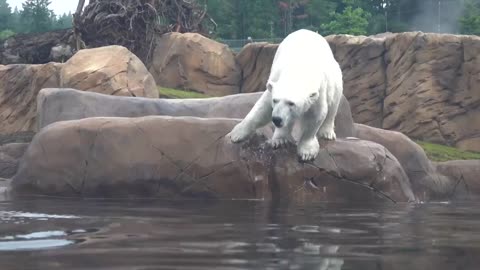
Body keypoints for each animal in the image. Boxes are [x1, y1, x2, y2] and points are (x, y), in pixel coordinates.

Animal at [227, 29, 344, 161]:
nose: (276, 119)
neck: (299, 69)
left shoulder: (318, 93)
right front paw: (237, 133)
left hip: (335, 79)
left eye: (291, 103)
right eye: (275, 100)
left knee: (333, 105)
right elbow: (262, 109)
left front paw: (307, 151)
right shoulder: (275, 82)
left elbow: (315, 116)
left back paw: (327, 133)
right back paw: (280, 139)